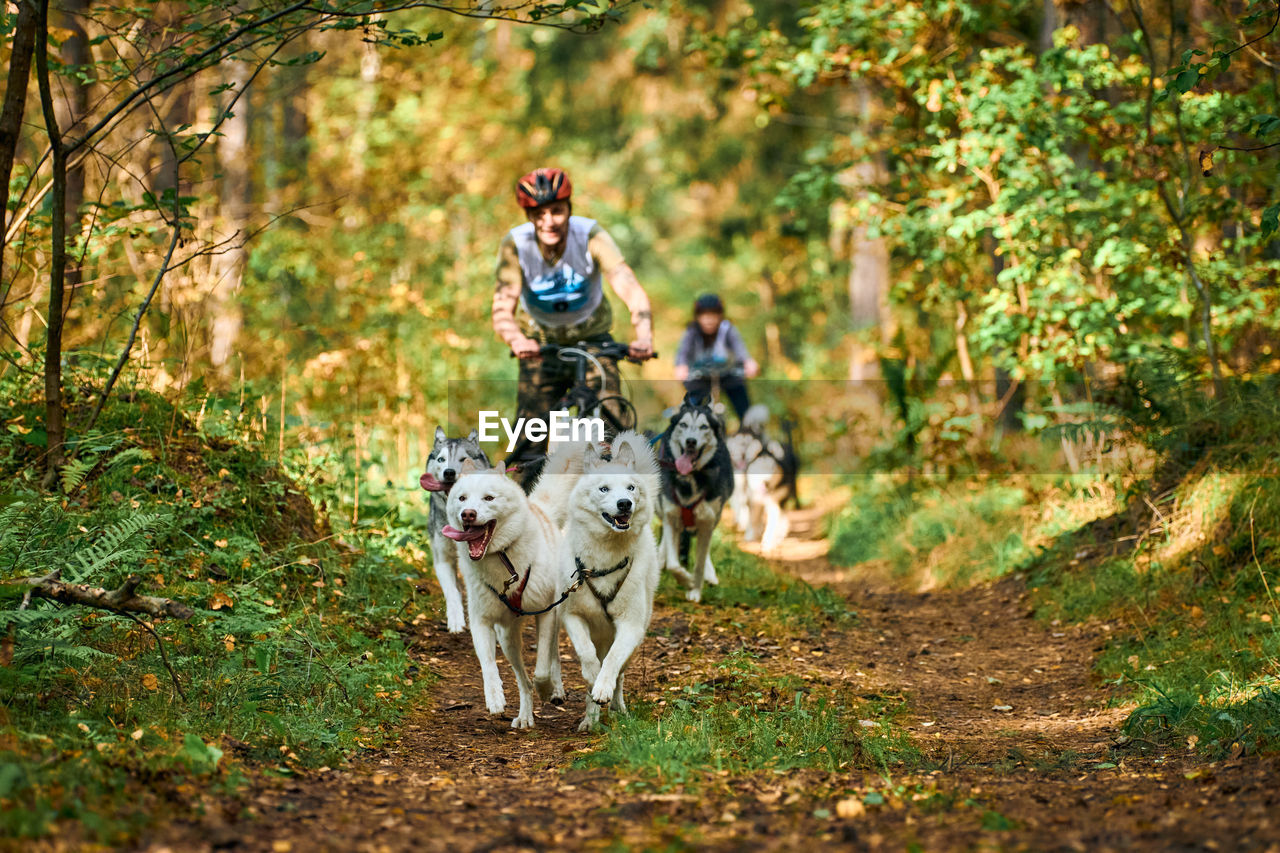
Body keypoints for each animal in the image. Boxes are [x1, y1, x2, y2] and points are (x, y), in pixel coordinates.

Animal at [440, 440, 581, 727]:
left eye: (488, 498)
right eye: (462, 498)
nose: (467, 514)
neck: (504, 562)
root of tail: (540, 510)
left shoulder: (546, 613)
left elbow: (541, 668)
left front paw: (546, 688)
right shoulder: (481, 620)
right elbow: (487, 663)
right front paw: (494, 696)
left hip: (554, 615)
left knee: (552, 656)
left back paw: (555, 689)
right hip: (507, 638)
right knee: (521, 679)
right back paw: (525, 715)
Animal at [558, 432, 660, 732]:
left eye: (630, 488)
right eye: (604, 489)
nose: (625, 503)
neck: (604, 559)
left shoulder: (630, 626)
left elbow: (613, 661)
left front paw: (603, 687)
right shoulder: (572, 617)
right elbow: (586, 654)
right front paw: (593, 679)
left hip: (635, 636)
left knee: (620, 672)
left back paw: (617, 708)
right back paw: (590, 720)